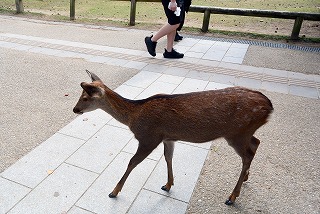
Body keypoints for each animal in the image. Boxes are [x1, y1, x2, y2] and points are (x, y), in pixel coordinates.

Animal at [74, 69, 274, 205]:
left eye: (85, 98)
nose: (75, 109)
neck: (134, 116)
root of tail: (269, 107)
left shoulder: (149, 137)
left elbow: (132, 162)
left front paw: (114, 192)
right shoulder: (168, 137)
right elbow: (168, 157)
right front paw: (168, 184)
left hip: (237, 132)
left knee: (248, 154)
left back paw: (232, 196)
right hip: (245, 132)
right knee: (256, 143)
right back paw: (245, 179)